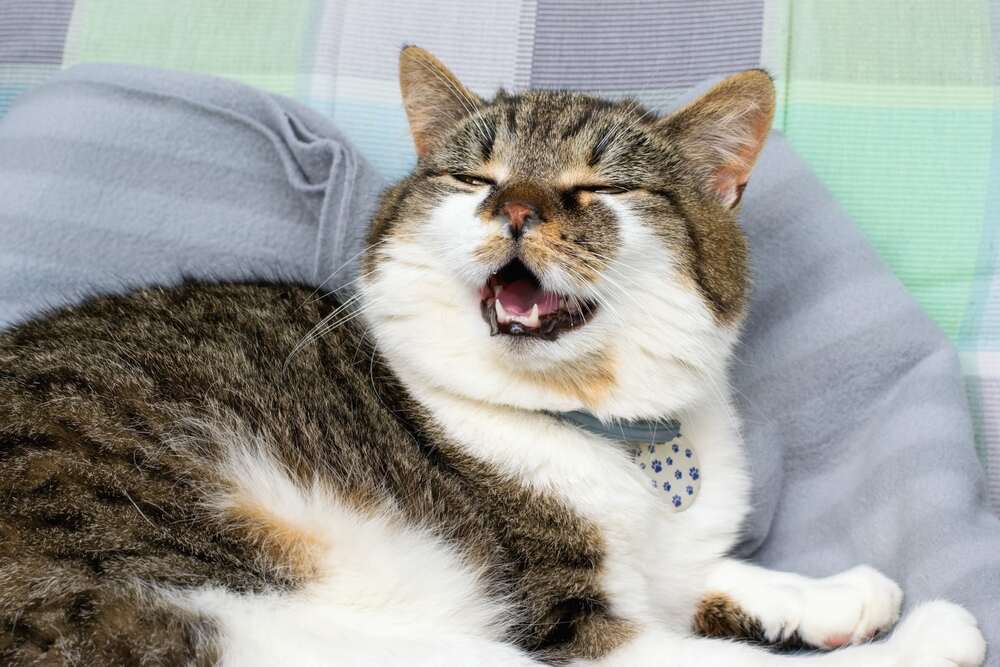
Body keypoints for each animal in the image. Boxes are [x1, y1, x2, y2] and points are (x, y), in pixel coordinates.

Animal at [0, 47, 984, 667]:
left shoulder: (655, 573)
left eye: (602, 185)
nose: (512, 208)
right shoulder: (581, 631)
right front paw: (923, 637)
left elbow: (712, 575)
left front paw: (835, 594)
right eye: (474, 177)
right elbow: (732, 658)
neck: (610, 429)